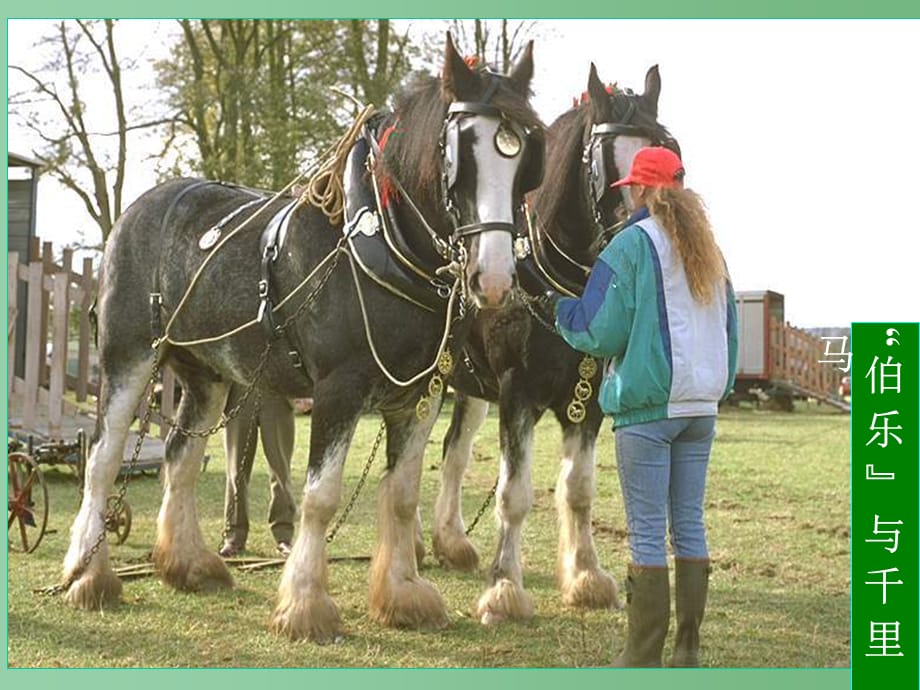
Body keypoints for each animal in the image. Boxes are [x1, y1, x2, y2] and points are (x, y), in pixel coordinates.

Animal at [64, 36, 548, 640]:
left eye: (524, 157)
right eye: (461, 153)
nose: (497, 278)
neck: (389, 246)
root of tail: (137, 209)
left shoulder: (421, 396)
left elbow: (402, 496)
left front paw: (403, 595)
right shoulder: (338, 389)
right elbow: (320, 497)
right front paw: (305, 604)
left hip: (207, 376)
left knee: (180, 456)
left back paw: (189, 565)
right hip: (128, 358)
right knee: (103, 460)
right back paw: (88, 575)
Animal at [428, 66, 680, 624]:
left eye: (668, 152)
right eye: (607, 165)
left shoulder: (588, 402)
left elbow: (579, 489)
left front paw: (586, 576)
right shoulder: (516, 393)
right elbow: (514, 494)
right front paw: (504, 588)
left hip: (470, 389)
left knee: (454, 453)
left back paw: (449, 541)